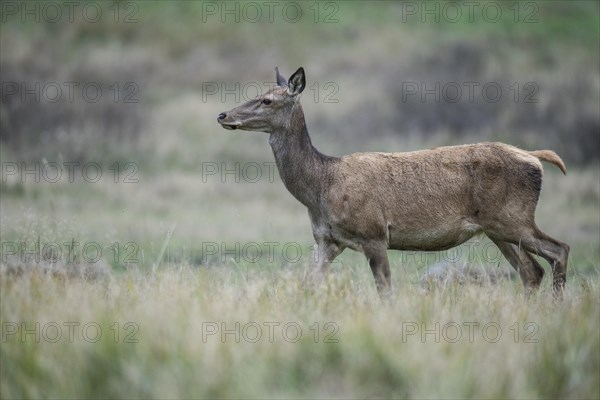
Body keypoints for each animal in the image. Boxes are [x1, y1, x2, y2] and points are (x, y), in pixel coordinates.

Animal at [218, 67, 568, 296]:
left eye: (267, 100)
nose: (223, 115)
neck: (321, 186)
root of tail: (534, 157)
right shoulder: (327, 240)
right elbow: (308, 284)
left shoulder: (374, 233)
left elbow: (385, 290)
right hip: (497, 228)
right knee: (531, 271)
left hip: (513, 218)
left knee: (558, 250)